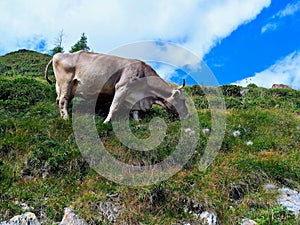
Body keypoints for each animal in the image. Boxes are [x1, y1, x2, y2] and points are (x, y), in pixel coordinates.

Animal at [44, 50, 189, 123]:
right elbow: (113, 107)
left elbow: (135, 111)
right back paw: (66, 118)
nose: (188, 115)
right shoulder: (122, 87)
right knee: (63, 101)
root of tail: (58, 54)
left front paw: (137, 123)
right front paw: (106, 122)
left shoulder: (135, 97)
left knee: (60, 100)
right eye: (182, 100)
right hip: (65, 83)